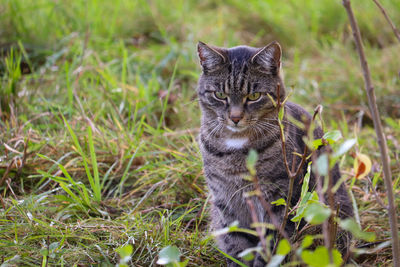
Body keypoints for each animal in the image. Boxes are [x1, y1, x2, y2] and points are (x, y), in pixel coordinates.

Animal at [196, 40, 354, 266]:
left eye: (254, 96)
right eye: (220, 95)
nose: (235, 118)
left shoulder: (280, 199)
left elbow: (273, 244)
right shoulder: (225, 201)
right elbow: (237, 243)